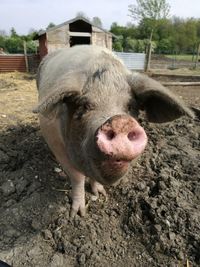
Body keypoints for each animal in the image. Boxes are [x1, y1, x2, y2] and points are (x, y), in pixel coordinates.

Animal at [34, 45, 194, 219]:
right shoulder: (55, 143)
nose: (120, 121)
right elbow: (77, 177)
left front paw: (100, 193)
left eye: (130, 106)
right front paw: (78, 214)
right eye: (84, 105)